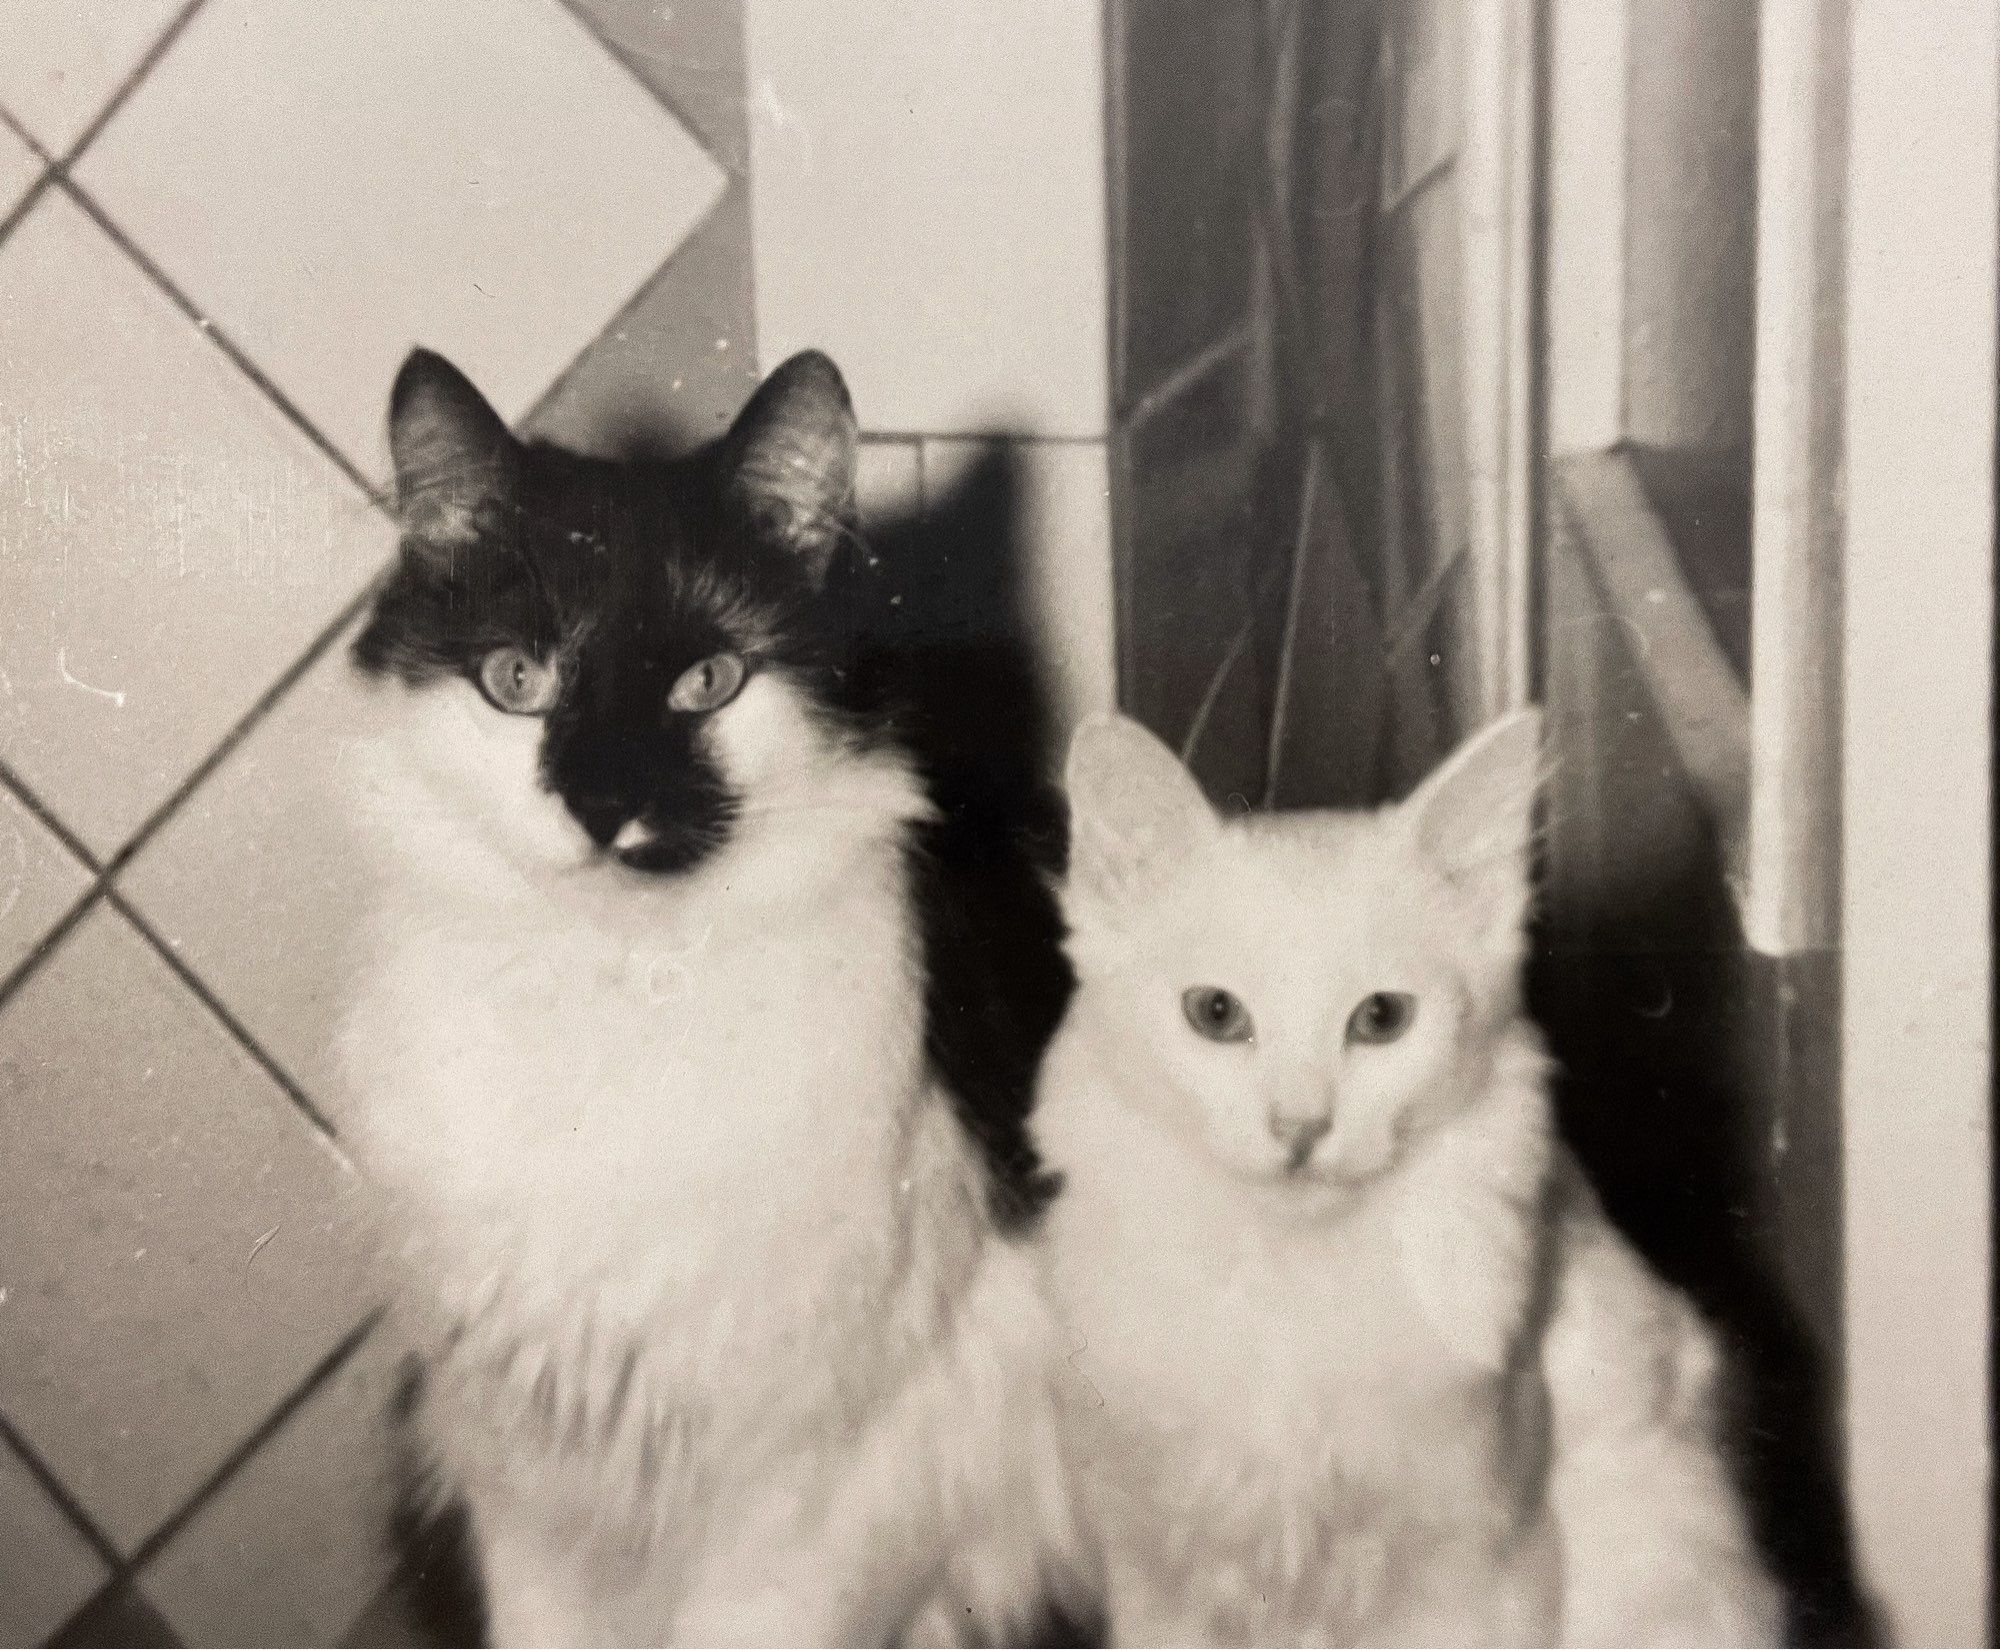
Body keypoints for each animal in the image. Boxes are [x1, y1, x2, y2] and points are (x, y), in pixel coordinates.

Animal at [346, 350, 1096, 1648]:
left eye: (708, 682)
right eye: (515, 681)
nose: (601, 806)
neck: (613, 996)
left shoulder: (822, 1479)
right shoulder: (517, 1465)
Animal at [1032, 712, 1784, 1648]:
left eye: (1381, 1019)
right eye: (1216, 1014)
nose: (1301, 1127)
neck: (1295, 1289)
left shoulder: (1490, 1545)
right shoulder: (1157, 1564)